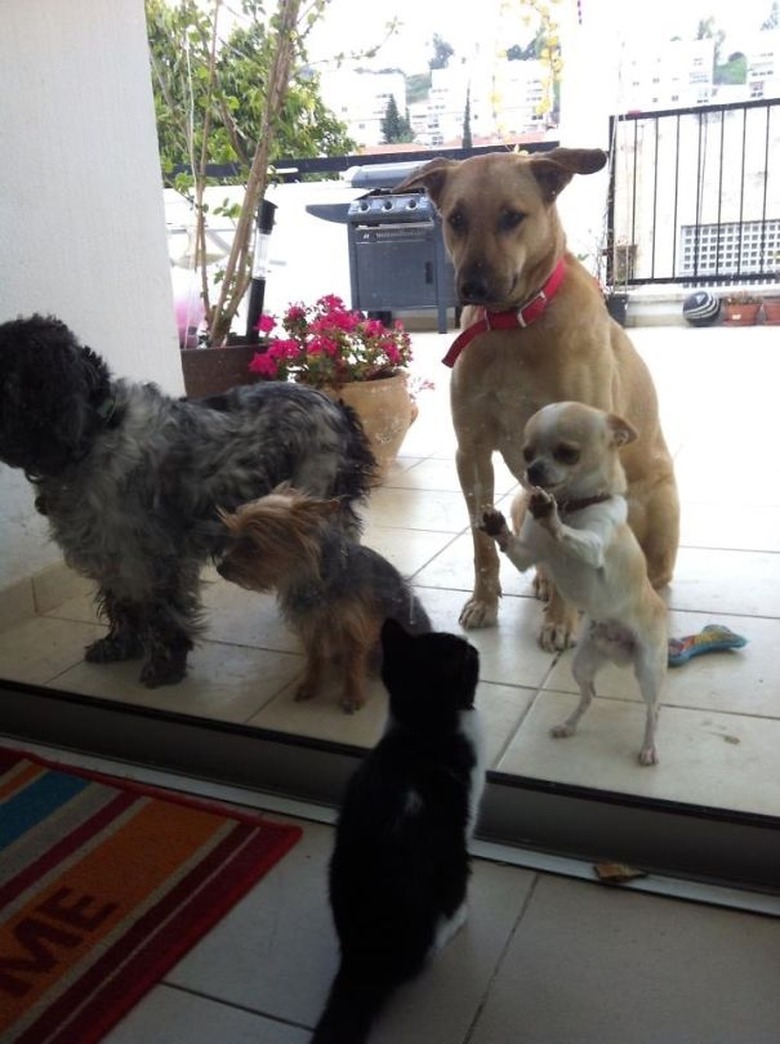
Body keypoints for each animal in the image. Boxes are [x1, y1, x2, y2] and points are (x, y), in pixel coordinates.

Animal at [0, 313, 377, 689]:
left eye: (11, 374)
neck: (95, 434)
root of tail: (335, 406)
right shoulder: (108, 551)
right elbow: (121, 602)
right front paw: (119, 644)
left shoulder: (155, 556)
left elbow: (163, 613)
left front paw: (164, 666)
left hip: (318, 499)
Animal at [313, 613, 484, 1039]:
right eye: (467, 658)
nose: (475, 646)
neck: (423, 731)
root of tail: (362, 962)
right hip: (454, 862)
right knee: (429, 944)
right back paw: (456, 921)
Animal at [396, 150, 676, 647]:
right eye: (455, 218)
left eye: (513, 216)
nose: (473, 287)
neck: (514, 328)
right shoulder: (471, 453)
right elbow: (482, 544)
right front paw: (483, 603)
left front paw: (562, 621)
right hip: (519, 502)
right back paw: (546, 580)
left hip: (659, 509)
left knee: (650, 575)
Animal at [482, 402, 664, 764]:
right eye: (525, 453)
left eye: (567, 453)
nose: (533, 470)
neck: (571, 507)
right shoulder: (525, 556)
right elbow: (514, 545)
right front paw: (497, 524)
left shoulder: (592, 547)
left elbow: (568, 534)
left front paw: (550, 517)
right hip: (584, 663)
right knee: (589, 693)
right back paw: (569, 725)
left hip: (648, 669)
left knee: (651, 710)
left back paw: (648, 747)